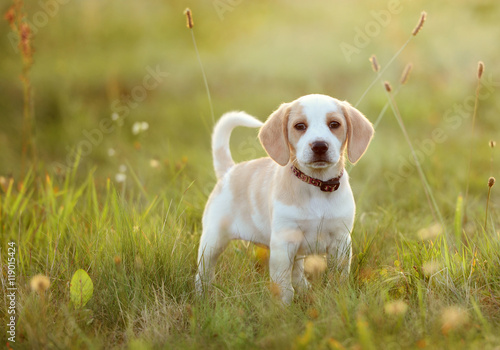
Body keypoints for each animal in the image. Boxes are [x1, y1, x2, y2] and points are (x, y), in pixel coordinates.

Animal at [197, 93, 374, 304]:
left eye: (334, 124)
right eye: (300, 126)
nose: (319, 146)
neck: (316, 185)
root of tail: (229, 171)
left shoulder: (341, 242)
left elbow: (337, 277)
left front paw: (337, 297)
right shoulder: (283, 242)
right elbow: (282, 284)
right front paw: (283, 307)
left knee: (297, 272)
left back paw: (304, 288)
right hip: (213, 240)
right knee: (203, 271)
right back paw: (201, 295)